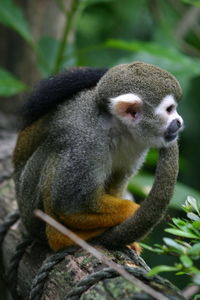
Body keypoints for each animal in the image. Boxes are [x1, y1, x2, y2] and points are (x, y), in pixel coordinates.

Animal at [12, 62, 183, 252]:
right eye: (170, 110)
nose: (179, 121)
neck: (116, 128)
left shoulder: (138, 144)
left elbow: (116, 182)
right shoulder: (86, 143)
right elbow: (70, 205)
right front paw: (131, 210)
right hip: (30, 202)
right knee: (56, 152)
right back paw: (61, 239)